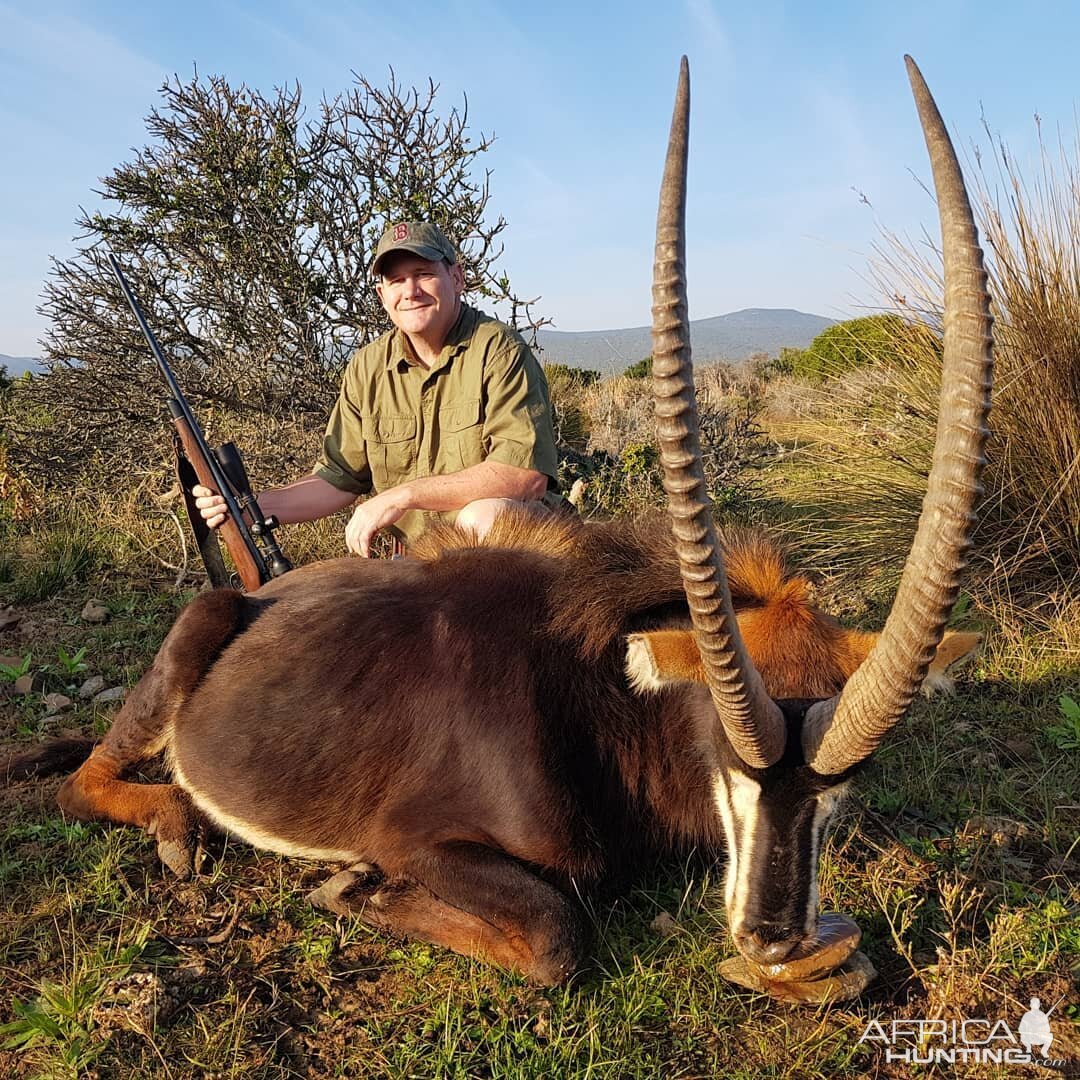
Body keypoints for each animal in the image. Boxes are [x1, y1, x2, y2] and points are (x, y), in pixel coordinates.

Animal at [0, 56, 989, 989]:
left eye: (845, 783)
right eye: (723, 749)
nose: (773, 937)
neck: (596, 689)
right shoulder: (425, 841)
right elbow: (557, 934)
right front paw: (349, 885)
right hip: (193, 639)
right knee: (87, 782)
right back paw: (176, 820)